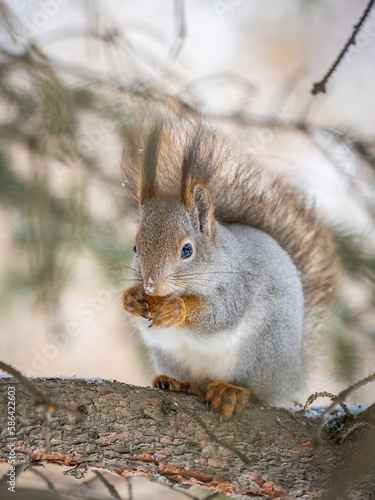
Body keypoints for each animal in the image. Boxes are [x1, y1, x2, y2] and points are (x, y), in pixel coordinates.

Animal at [121, 115, 340, 416]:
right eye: (135, 248)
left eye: (187, 250)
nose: (152, 286)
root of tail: (292, 373)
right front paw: (131, 298)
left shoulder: (237, 285)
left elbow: (220, 314)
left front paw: (176, 309)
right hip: (171, 356)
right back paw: (177, 382)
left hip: (262, 351)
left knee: (257, 393)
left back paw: (232, 392)